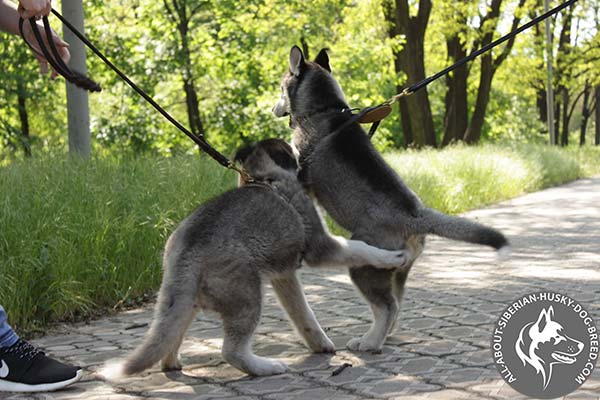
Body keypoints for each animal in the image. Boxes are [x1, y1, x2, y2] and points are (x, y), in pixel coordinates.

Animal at [103, 138, 410, 378]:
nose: (304, 152)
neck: (263, 177)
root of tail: (187, 252)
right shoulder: (321, 246)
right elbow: (359, 247)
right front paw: (391, 256)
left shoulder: (284, 275)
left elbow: (302, 313)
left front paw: (319, 343)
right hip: (246, 294)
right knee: (232, 350)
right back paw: (265, 367)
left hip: (180, 299)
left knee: (171, 333)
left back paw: (172, 362)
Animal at [274, 47, 510, 354]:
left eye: (281, 87)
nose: (273, 107)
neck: (324, 109)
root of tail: (415, 215)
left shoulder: (304, 177)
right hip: (398, 272)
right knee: (395, 305)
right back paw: (383, 336)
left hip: (364, 268)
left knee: (387, 307)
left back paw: (370, 342)